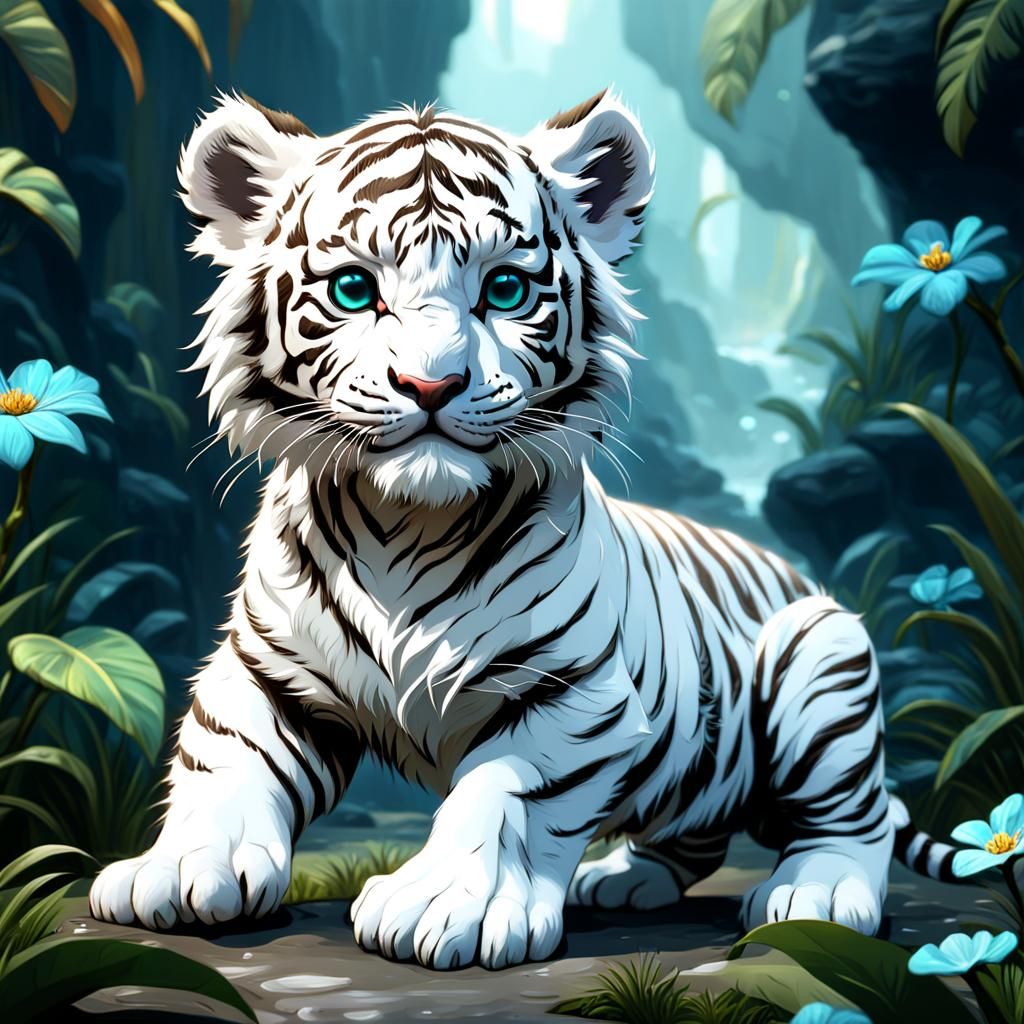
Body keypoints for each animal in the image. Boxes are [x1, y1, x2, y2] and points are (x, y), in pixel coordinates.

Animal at [89, 90, 956, 970]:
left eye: (504, 290)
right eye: (354, 291)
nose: (430, 383)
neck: (403, 527)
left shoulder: (574, 692)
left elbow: (505, 787)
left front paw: (446, 907)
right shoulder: (265, 669)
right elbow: (225, 756)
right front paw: (183, 870)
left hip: (821, 660)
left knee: (855, 821)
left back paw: (814, 894)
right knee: (696, 831)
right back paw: (623, 878)